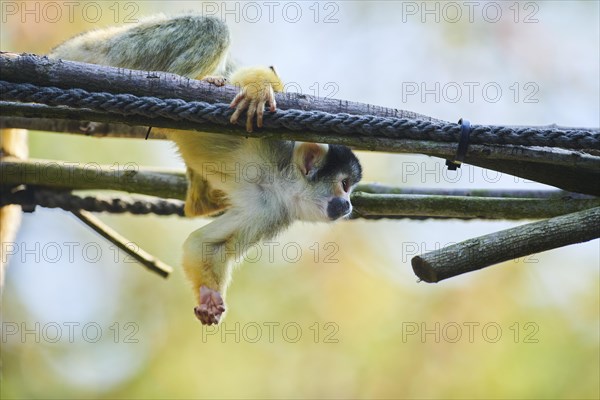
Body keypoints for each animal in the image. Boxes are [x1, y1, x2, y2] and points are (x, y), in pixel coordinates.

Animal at [47, 14, 360, 324]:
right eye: (344, 185)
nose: (348, 205)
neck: (280, 180)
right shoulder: (276, 143)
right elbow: (252, 77)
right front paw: (258, 90)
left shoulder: (272, 211)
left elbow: (205, 246)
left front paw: (209, 297)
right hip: (121, 48)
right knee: (212, 27)